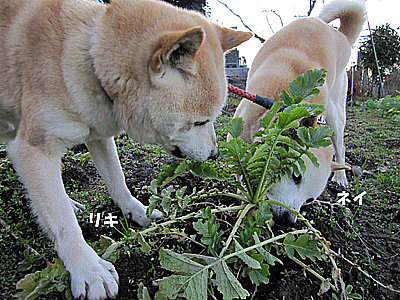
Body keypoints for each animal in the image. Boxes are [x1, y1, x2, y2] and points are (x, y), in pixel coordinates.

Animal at [0, 0, 250, 298]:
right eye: (200, 121)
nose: (215, 154)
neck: (87, 56)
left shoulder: (99, 134)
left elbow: (117, 181)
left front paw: (137, 211)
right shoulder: (35, 149)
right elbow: (63, 223)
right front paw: (87, 268)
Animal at [233, 0, 368, 225]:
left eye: (309, 200)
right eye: (296, 177)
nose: (288, 221)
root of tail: (341, 35)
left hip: (335, 113)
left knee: (340, 147)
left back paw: (341, 178)